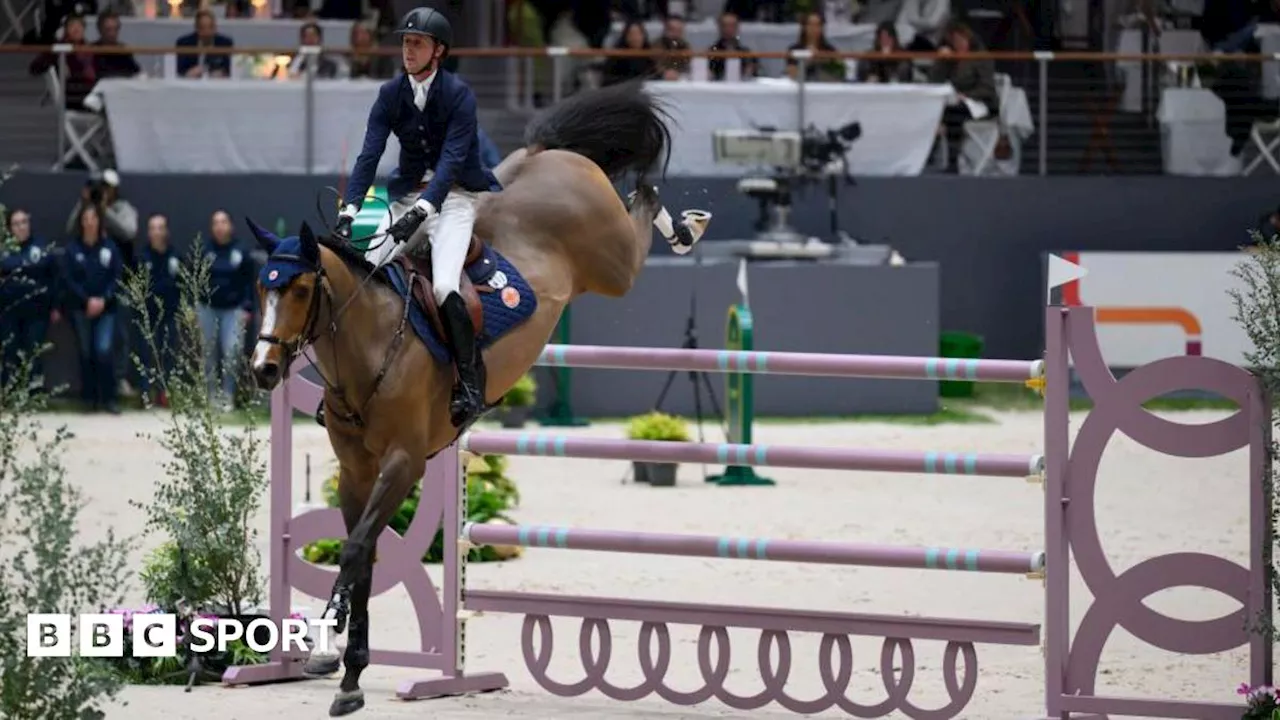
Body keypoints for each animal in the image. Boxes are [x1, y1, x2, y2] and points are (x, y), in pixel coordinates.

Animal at [244, 79, 716, 712]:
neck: (371, 345)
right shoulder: (355, 470)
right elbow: (363, 552)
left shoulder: (404, 462)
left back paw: (688, 226)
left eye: (298, 289)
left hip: (613, 263)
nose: (265, 370)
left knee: (643, 197)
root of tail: (545, 154)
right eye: (260, 288)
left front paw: (338, 648)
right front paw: (345, 668)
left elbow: (357, 549)